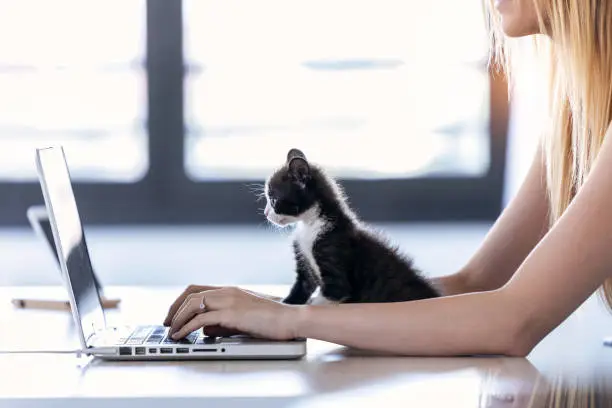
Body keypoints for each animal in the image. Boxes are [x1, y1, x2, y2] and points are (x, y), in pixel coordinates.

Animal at [262, 148, 440, 304]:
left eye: (273, 200)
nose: (265, 213)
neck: (311, 224)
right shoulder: (304, 262)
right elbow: (301, 288)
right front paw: (287, 303)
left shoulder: (335, 268)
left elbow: (327, 297)